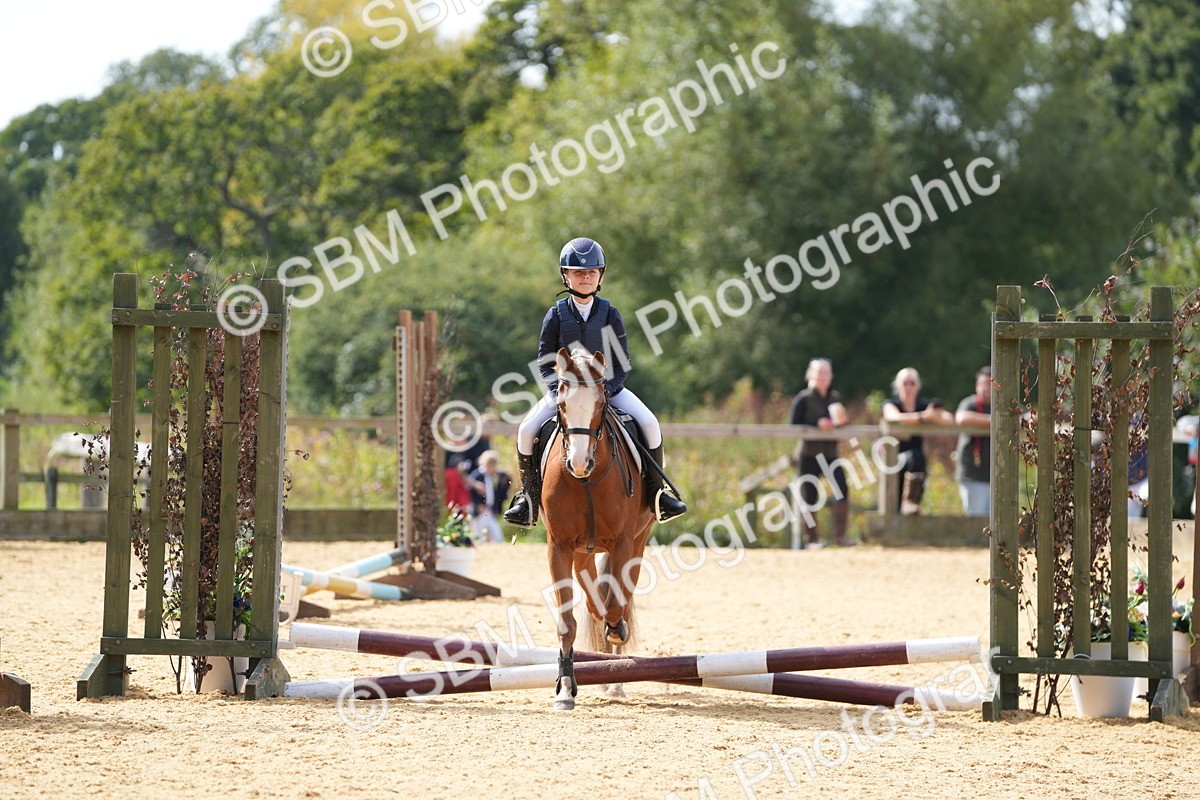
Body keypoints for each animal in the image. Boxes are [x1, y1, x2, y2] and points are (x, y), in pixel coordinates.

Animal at [541, 347, 656, 710]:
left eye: (601, 404)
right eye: (562, 404)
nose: (579, 464)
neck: (587, 483)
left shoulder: (623, 543)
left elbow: (617, 602)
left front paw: (617, 630)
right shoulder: (559, 545)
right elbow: (567, 623)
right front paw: (565, 689)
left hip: (638, 541)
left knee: (620, 597)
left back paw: (616, 679)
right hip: (582, 551)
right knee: (593, 597)